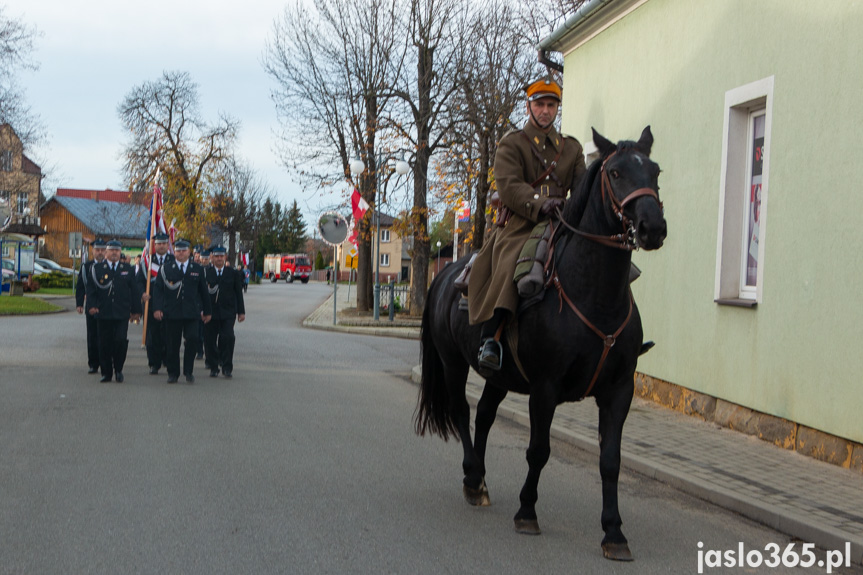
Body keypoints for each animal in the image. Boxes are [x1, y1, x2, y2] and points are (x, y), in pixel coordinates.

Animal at [416, 126, 664, 564]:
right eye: (615, 173)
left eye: (654, 170)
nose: (653, 226)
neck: (593, 294)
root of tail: (446, 273)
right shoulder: (544, 390)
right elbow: (539, 450)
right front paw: (527, 511)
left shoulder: (619, 391)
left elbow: (610, 461)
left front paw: (614, 532)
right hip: (452, 363)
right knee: (462, 412)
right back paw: (472, 476)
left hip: (498, 376)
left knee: (484, 415)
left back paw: (480, 479)